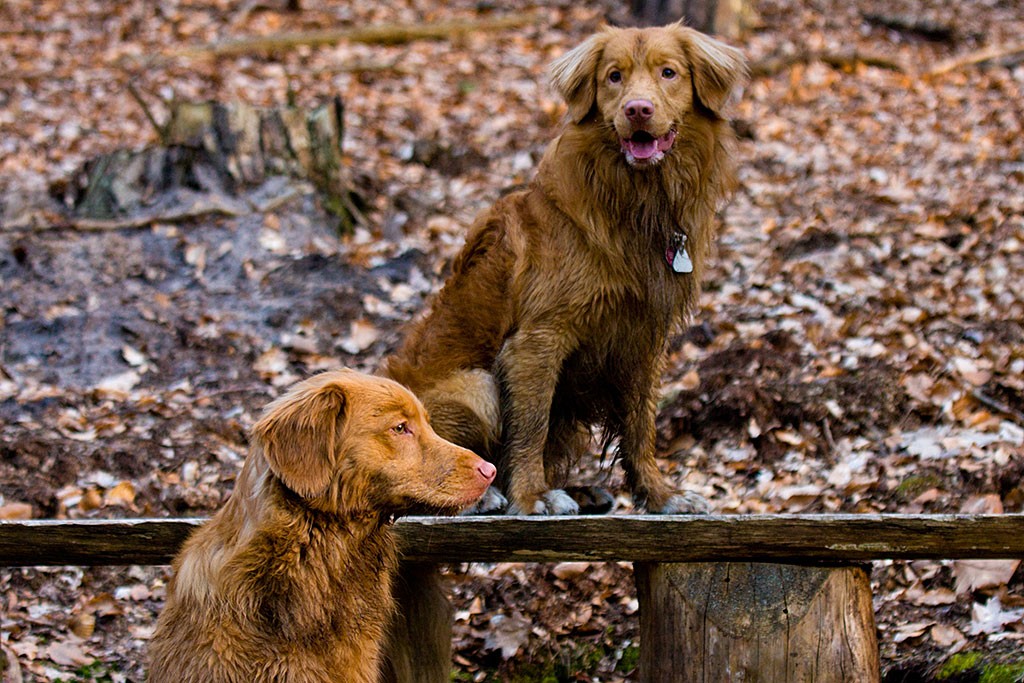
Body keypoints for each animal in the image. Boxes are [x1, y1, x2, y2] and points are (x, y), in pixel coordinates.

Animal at [385, 24, 745, 516]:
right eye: (614, 76)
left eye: (668, 72)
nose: (637, 109)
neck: (637, 203)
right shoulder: (538, 339)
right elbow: (530, 427)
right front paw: (531, 496)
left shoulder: (645, 339)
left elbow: (641, 425)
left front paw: (659, 495)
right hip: (475, 387)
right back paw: (486, 497)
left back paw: (582, 491)